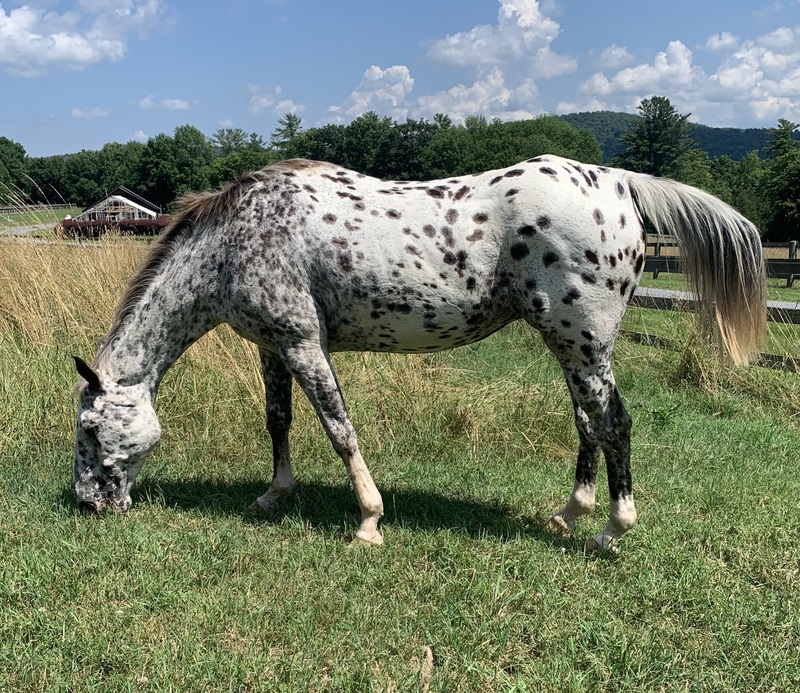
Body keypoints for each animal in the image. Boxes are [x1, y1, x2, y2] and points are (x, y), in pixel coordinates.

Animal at [75, 155, 768, 552]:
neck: (236, 240)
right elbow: (279, 421)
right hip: (570, 346)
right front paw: (273, 495)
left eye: (88, 429)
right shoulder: (274, 345)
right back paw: (569, 513)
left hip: (583, 341)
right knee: (588, 423)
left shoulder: (304, 343)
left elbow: (339, 429)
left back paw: (610, 531)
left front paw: (369, 523)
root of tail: (618, 183)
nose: (88, 504)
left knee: (614, 423)